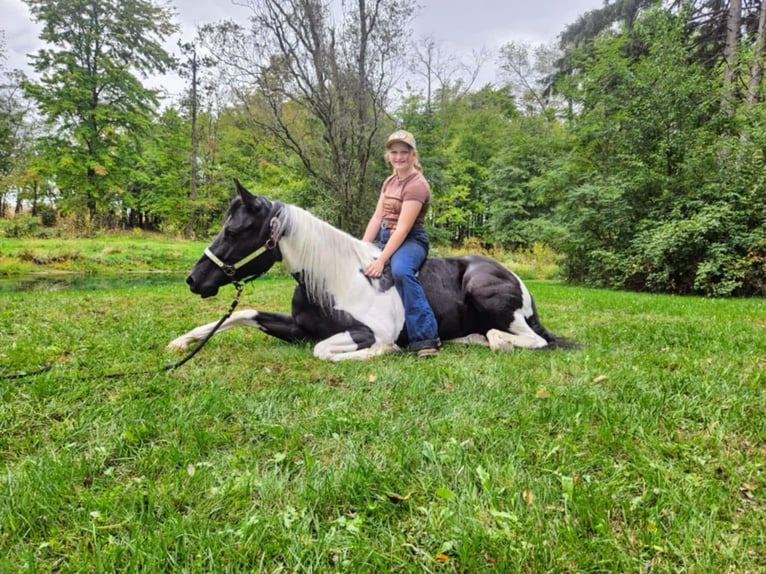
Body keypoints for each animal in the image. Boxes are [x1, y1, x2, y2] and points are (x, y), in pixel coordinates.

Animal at [168, 180, 574, 361]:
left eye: (233, 231)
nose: (193, 279)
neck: (334, 279)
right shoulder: (298, 327)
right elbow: (247, 314)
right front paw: (182, 341)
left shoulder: (365, 331)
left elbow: (323, 350)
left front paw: (388, 349)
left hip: (486, 292)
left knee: (530, 339)